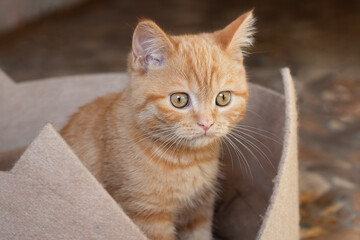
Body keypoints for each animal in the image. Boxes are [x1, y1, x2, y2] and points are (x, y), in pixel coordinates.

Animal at [61, 10, 253, 240]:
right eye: (179, 100)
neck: (186, 161)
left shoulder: (199, 213)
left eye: (223, 98)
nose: (206, 123)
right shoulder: (147, 217)